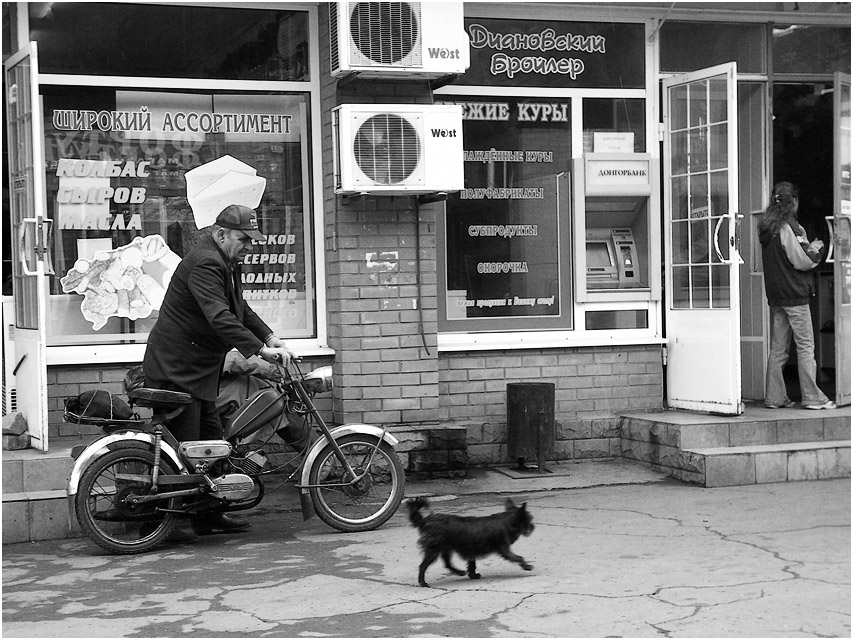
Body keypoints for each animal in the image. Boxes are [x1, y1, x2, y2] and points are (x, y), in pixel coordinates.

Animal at [404, 498, 532, 588]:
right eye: (529, 519)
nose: (533, 526)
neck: (507, 521)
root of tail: (425, 521)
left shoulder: (472, 551)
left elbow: (472, 565)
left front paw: (473, 575)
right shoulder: (504, 550)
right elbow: (518, 557)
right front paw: (527, 566)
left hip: (445, 548)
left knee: (447, 563)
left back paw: (459, 572)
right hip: (433, 550)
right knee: (423, 565)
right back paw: (422, 582)